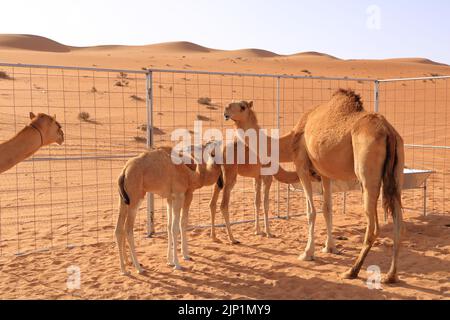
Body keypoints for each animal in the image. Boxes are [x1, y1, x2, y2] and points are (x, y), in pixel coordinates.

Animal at [116, 144, 221, 274]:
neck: (191, 175)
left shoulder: (170, 198)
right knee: (128, 229)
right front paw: (180, 262)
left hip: (124, 200)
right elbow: (177, 226)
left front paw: (170, 261)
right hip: (136, 198)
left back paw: (125, 268)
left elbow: (169, 226)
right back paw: (138, 268)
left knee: (119, 229)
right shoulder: (181, 195)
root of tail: (124, 171)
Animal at [292, 89, 404, 282]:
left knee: (373, 227)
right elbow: (327, 209)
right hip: (396, 173)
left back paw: (352, 271)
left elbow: (311, 211)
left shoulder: (302, 166)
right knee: (397, 223)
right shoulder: (325, 173)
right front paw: (329, 247)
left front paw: (307, 253)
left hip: (366, 175)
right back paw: (390, 275)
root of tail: (388, 131)